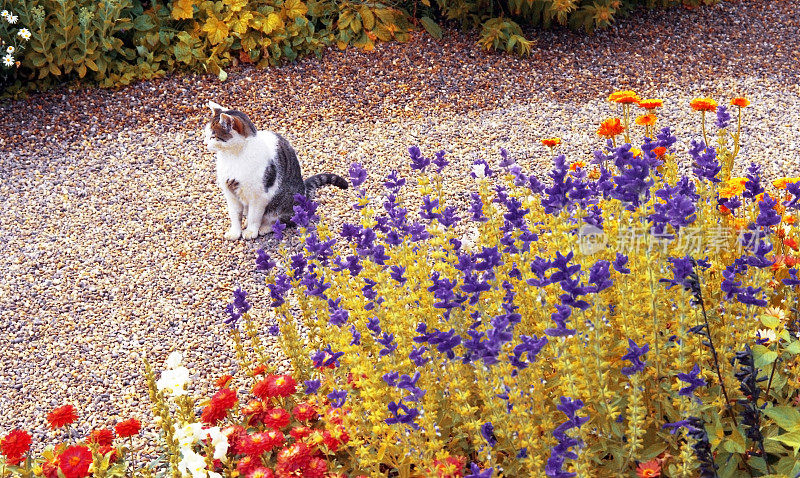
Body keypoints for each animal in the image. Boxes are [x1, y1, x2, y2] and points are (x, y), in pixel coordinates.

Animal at [203, 102, 346, 241]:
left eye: (213, 136)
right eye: (206, 134)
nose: (204, 143)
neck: (233, 157)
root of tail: (304, 191)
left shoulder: (259, 196)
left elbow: (254, 216)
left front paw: (251, 231)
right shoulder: (230, 194)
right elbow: (234, 215)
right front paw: (235, 232)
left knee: (283, 220)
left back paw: (265, 227)